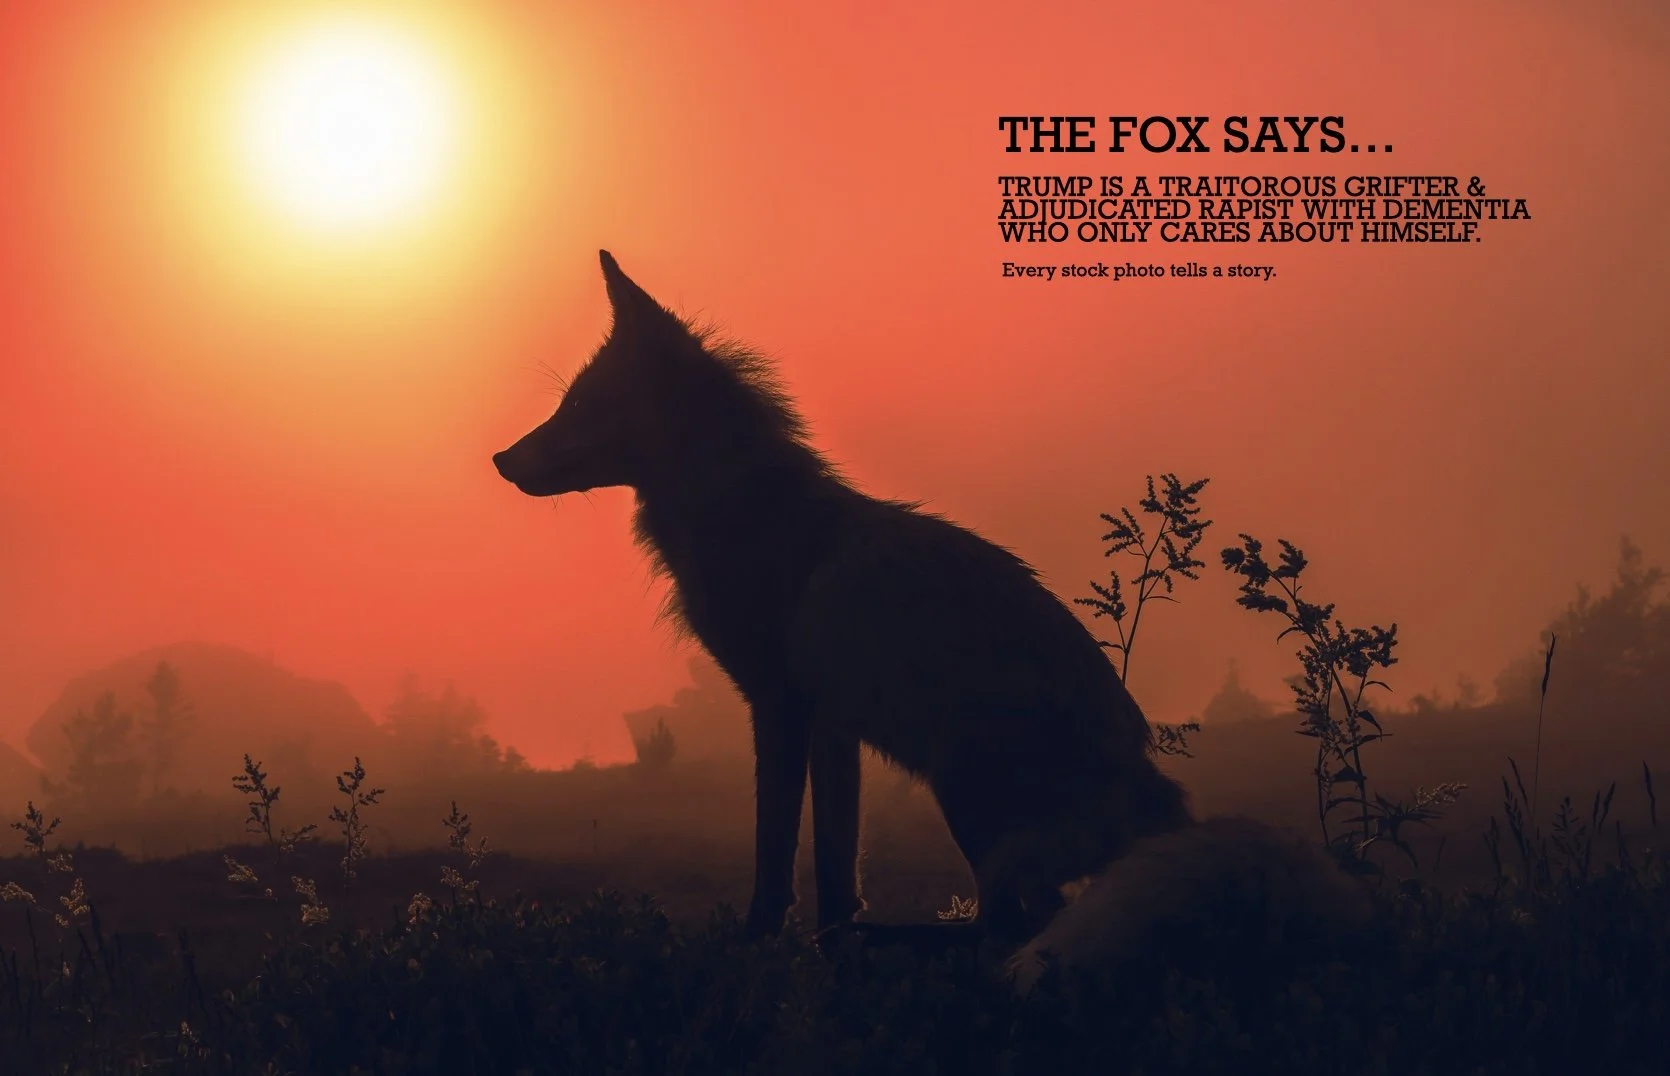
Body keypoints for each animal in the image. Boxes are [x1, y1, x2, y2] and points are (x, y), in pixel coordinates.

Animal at [494, 251, 1371, 976]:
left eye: (580, 405)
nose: (501, 459)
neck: (743, 517)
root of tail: (1160, 805)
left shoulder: (780, 706)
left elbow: (774, 859)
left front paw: (755, 946)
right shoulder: (833, 725)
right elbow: (835, 865)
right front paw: (828, 945)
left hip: (960, 779)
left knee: (1010, 930)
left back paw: (913, 944)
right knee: (1013, 922)